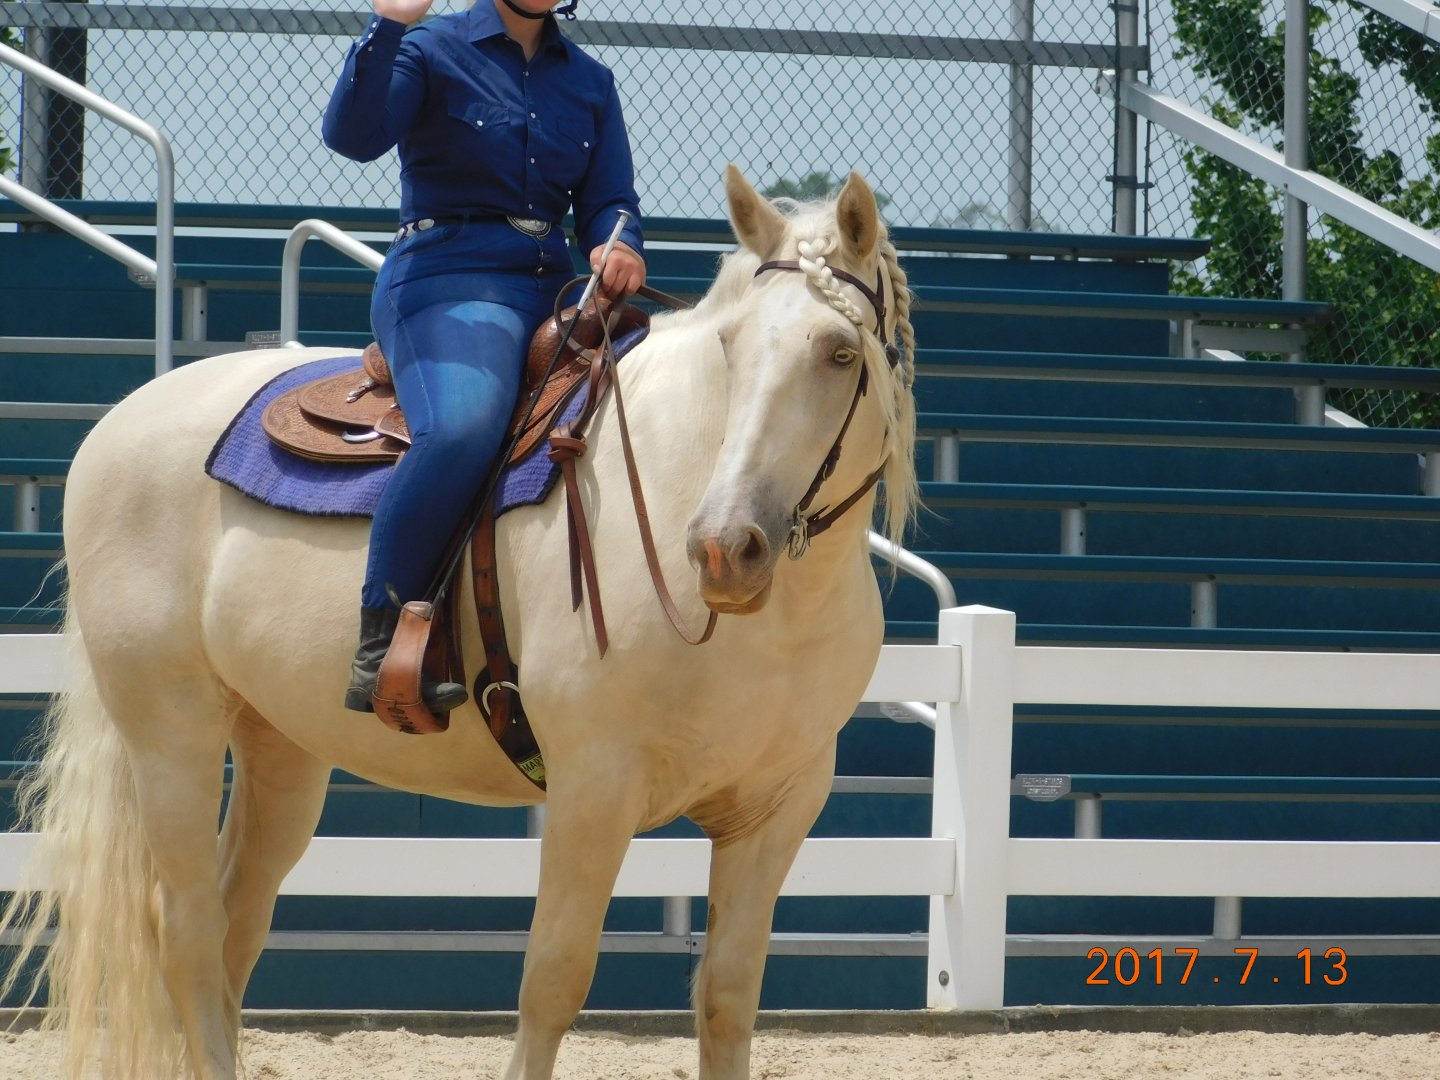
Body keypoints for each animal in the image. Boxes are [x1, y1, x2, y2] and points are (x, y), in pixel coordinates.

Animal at [0, 166, 918, 1080]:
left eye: (840, 353)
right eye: (730, 350)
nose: (724, 549)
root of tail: (123, 421)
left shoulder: (778, 809)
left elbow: (727, 997)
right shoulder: (594, 790)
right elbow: (553, 980)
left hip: (280, 748)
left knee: (235, 925)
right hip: (170, 731)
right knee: (187, 930)